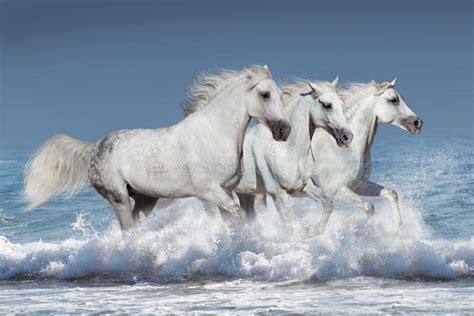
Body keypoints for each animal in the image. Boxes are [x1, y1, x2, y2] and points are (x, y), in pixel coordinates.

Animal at [24, 65, 290, 231]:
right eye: (265, 94)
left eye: (280, 95)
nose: (284, 130)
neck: (212, 133)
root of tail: (95, 148)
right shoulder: (208, 191)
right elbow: (237, 216)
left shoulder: (225, 189)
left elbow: (237, 219)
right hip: (118, 197)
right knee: (128, 231)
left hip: (145, 199)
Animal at [300, 79, 422, 236]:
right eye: (393, 100)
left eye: (403, 98)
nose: (418, 123)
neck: (347, 150)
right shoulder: (335, 190)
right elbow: (369, 207)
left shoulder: (360, 186)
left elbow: (391, 193)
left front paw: (395, 228)